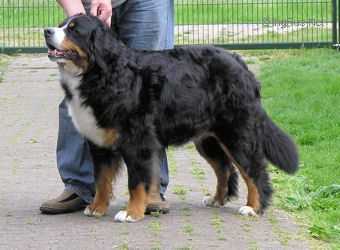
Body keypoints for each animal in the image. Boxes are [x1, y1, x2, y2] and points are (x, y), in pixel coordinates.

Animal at [43, 13, 298, 222]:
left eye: (74, 29)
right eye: (61, 25)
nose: (46, 31)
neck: (101, 73)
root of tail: (238, 61)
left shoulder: (138, 142)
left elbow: (136, 182)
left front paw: (132, 213)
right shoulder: (99, 142)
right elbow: (102, 180)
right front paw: (97, 208)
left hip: (236, 133)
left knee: (254, 170)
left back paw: (253, 207)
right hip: (208, 139)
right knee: (224, 169)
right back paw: (217, 199)